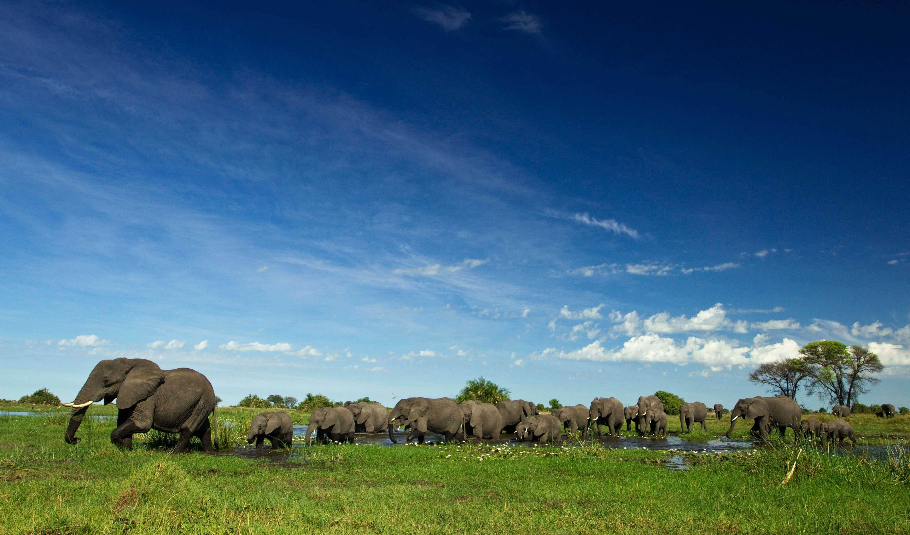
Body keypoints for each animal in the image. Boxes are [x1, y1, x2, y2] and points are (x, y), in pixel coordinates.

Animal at [62, 358, 217, 454]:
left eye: (106, 380)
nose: (77, 440)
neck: (130, 363)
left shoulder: (147, 397)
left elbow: (142, 423)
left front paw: (123, 447)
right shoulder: (128, 394)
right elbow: (123, 421)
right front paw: (127, 449)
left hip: (204, 401)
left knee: (189, 428)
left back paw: (174, 453)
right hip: (201, 403)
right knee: (204, 429)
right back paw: (207, 452)